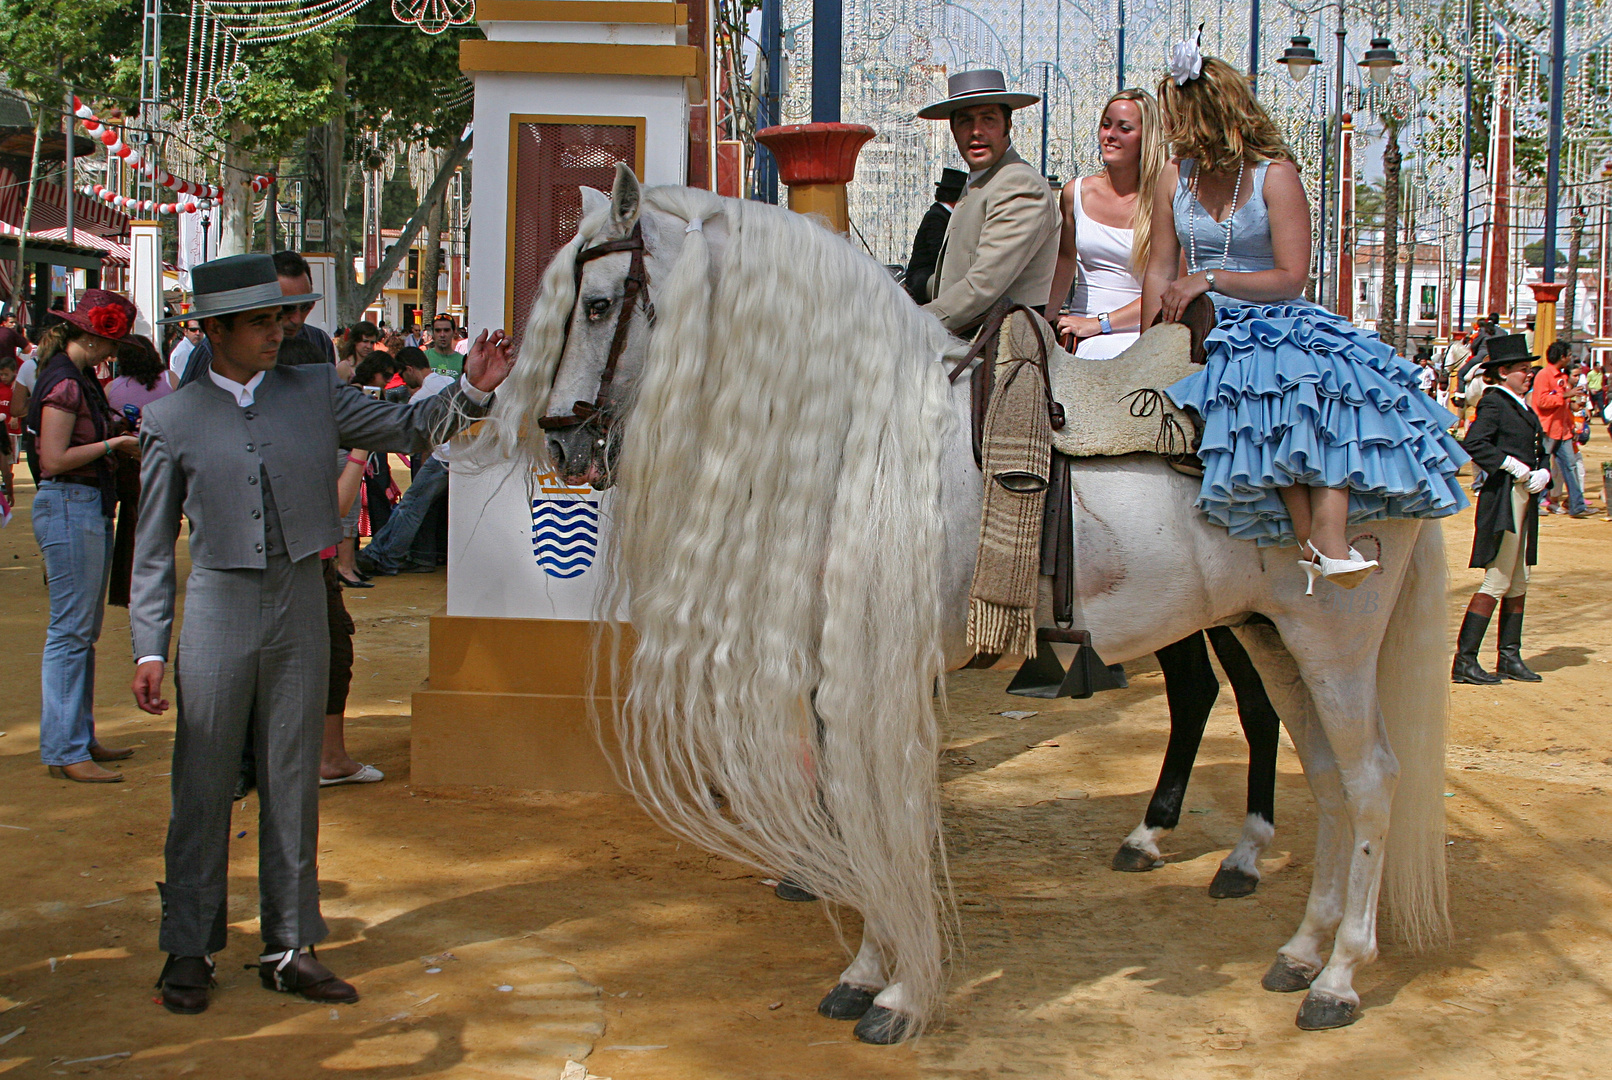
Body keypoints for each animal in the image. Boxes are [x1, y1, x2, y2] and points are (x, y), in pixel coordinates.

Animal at [470, 169, 1457, 1050]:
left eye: (601, 304)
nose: (562, 438)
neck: (865, 435)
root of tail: (1410, 402)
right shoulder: (840, 668)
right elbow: (853, 805)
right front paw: (867, 970)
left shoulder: (884, 668)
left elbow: (886, 807)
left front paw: (899, 991)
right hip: (1272, 636)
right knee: (1322, 774)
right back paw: (1297, 947)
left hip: (1331, 642)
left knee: (1370, 779)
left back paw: (1337, 977)